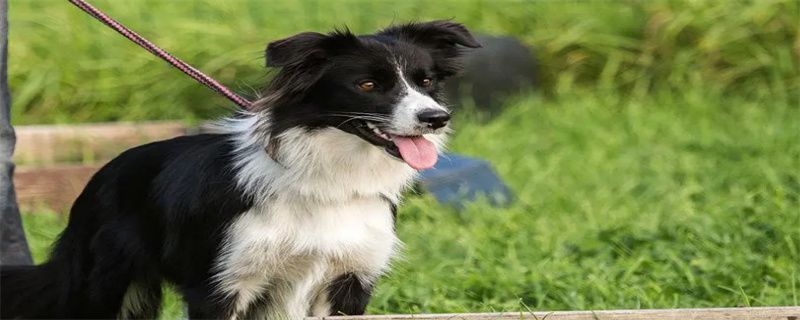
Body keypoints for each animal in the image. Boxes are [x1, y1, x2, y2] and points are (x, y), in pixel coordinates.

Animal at [0, 20, 478, 320]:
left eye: (426, 82)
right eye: (368, 85)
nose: (436, 119)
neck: (328, 177)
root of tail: (99, 176)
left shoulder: (348, 280)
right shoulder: (220, 283)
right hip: (103, 284)